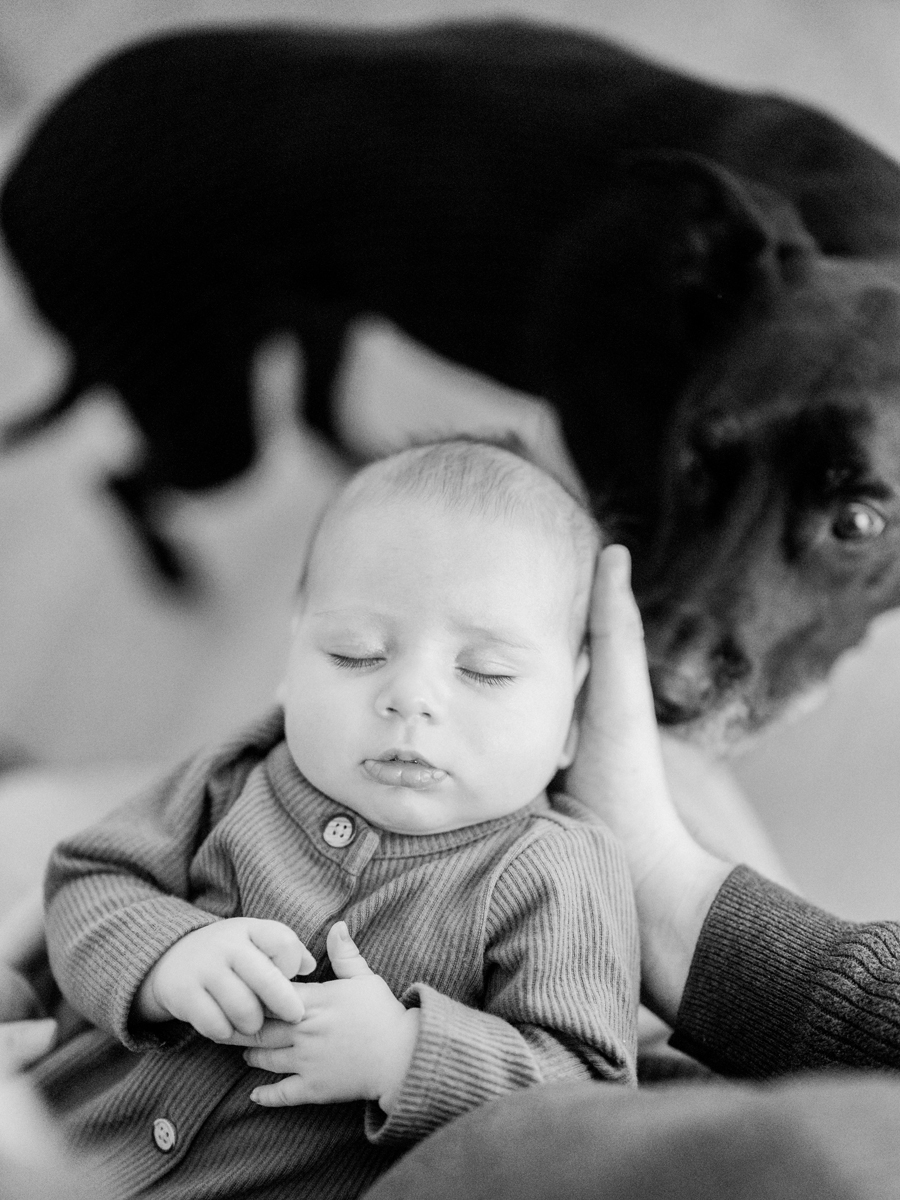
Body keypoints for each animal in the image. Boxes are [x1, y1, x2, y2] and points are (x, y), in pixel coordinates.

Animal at [5, 18, 900, 744]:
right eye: (690, 460)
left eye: (860, 521)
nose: (662, 697)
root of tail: (22, 176)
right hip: (205, 421)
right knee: (121, 478)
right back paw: (173, 570)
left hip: (323, 319)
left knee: (315, 412)